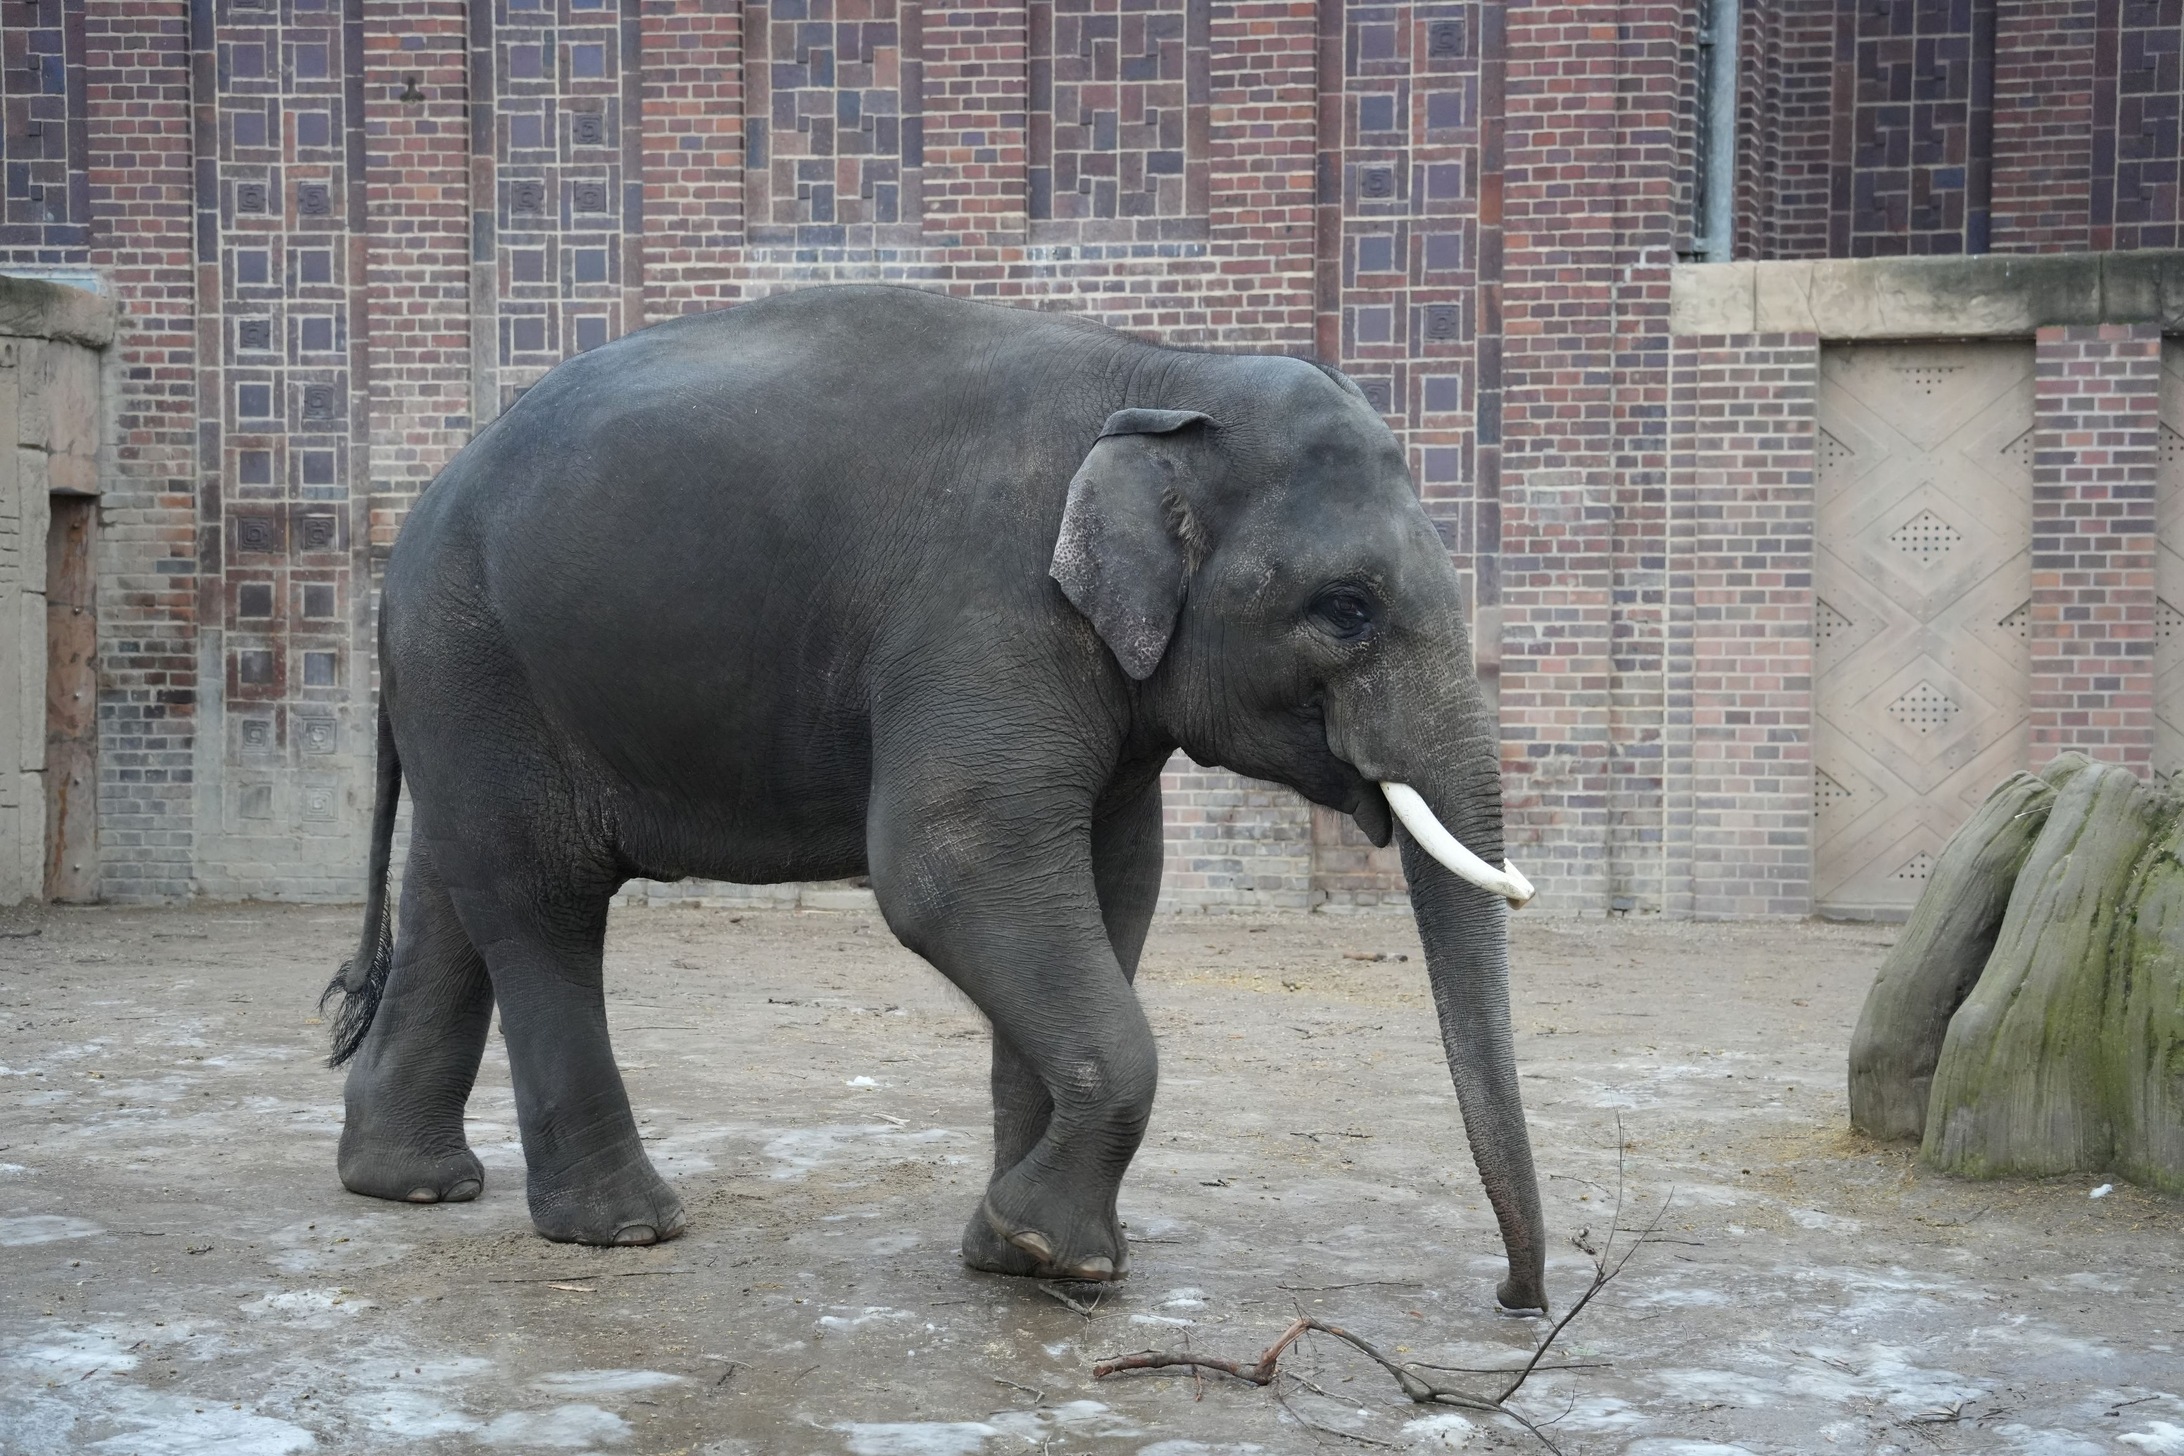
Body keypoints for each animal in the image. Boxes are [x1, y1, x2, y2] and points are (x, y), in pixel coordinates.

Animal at [324, 284, 1548, 1311]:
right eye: (1347, 608)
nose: (1514, 1298)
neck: (1163, 375)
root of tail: (407, 532)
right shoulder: (989, 611)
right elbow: (954, 866)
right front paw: (1051, 1251)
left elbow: (1114, 884)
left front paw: (1024, 1254)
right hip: (481, 657)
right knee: (543, 898)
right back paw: (625, 1227)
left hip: (475, 687)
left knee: (455, 888)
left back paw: (410, 1184)